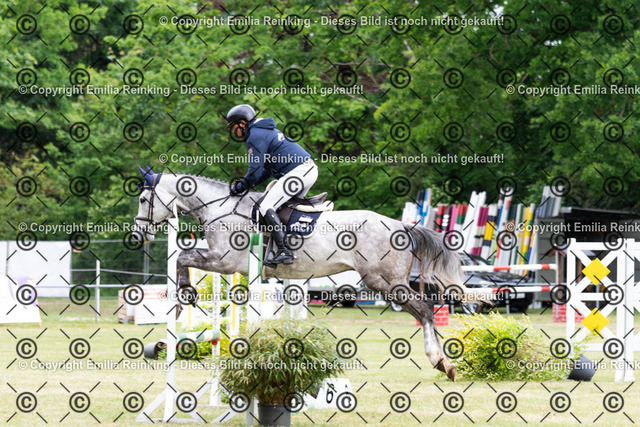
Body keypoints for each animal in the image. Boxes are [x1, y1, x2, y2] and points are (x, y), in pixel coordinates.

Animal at [132, 166, 483, 381]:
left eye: (144, 198)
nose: (138, 235)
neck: (219, 208)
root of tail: (402, 226)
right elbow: (185, 260)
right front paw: (180, 306)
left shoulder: (224, 262)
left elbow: (183, 259)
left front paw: (185, 293)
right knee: (425, 311)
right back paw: (444, 362)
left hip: (384, 282)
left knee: (425, 310)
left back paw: (441, 361)